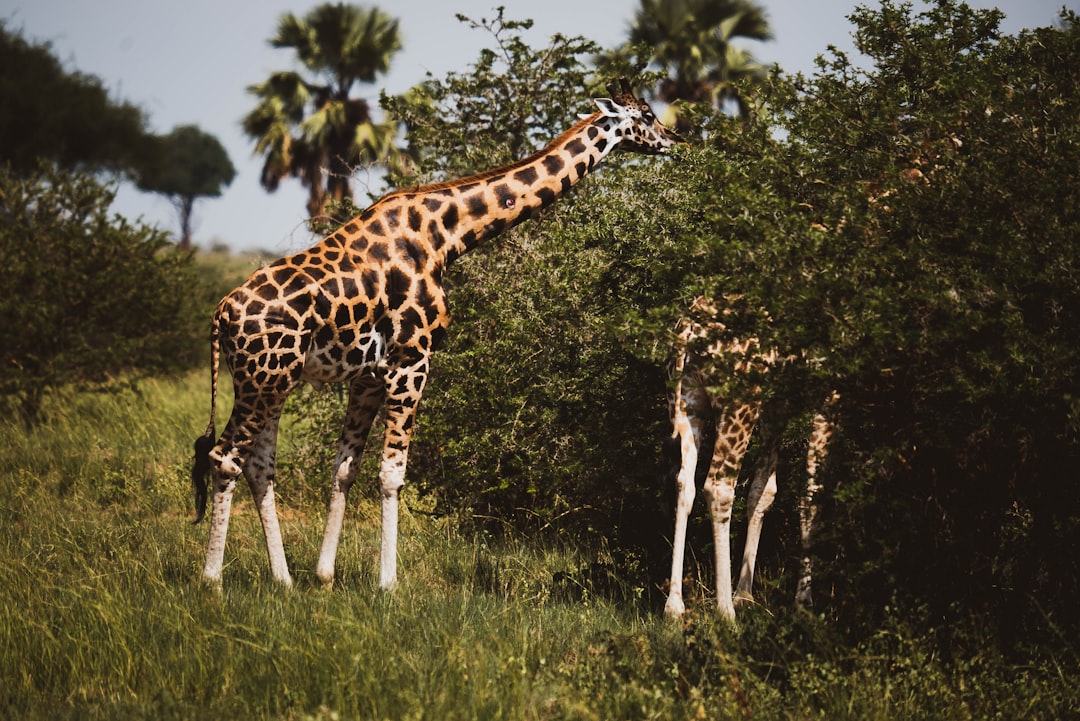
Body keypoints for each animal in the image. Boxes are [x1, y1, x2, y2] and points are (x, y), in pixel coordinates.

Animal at [190, 80, 681, 591]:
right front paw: (388, 583)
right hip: (263, 378)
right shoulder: (412, 360)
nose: (677, 140)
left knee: (258, 465)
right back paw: (212, 580)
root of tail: (221, 315)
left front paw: (325, 575)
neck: (446, 235)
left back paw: (283, 580)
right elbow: (391, 473)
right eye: (646, 115)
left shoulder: (369, 374)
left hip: (271, 381)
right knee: (225, 456)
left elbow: (344, 469)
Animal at [663, 296, 839, 621]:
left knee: (684, 483)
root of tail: (690, 330)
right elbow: (812, 494)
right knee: (719, 486)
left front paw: (745, 594)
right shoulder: (829, 393)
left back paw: (675, 605)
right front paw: (803, 602)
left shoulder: (777, 406)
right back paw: (725, 612)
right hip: (739, 404)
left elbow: (763, 491)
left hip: (689, 403)